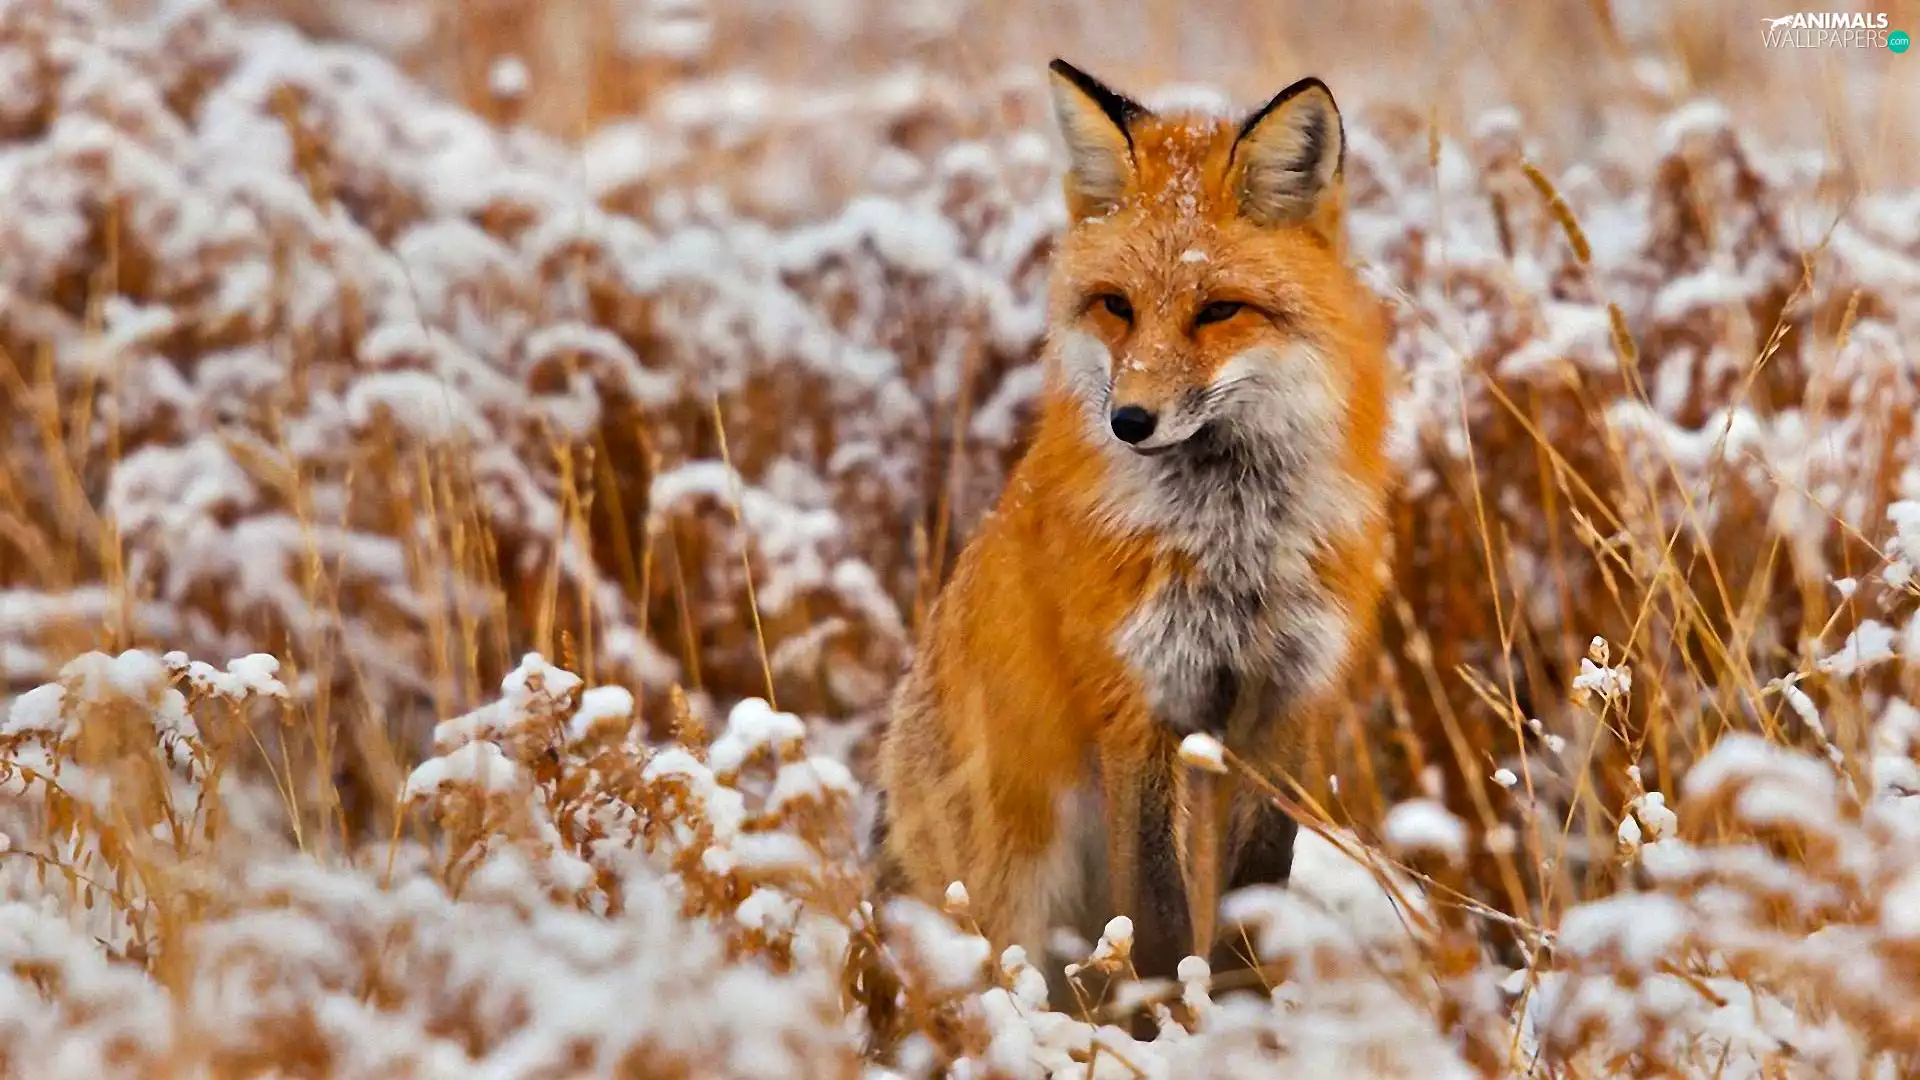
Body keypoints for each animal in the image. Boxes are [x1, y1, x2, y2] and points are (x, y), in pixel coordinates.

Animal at [870, 59, 1394, 997]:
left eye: (1219, 310)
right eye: (1115, 306)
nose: (1130, 421)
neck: (1234, 545)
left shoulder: (1286, 706)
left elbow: (1253, 899)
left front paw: (1248, 1013)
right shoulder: (1137, 705)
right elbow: (1152, 920)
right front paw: (1168, 1014)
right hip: (1015, 882)